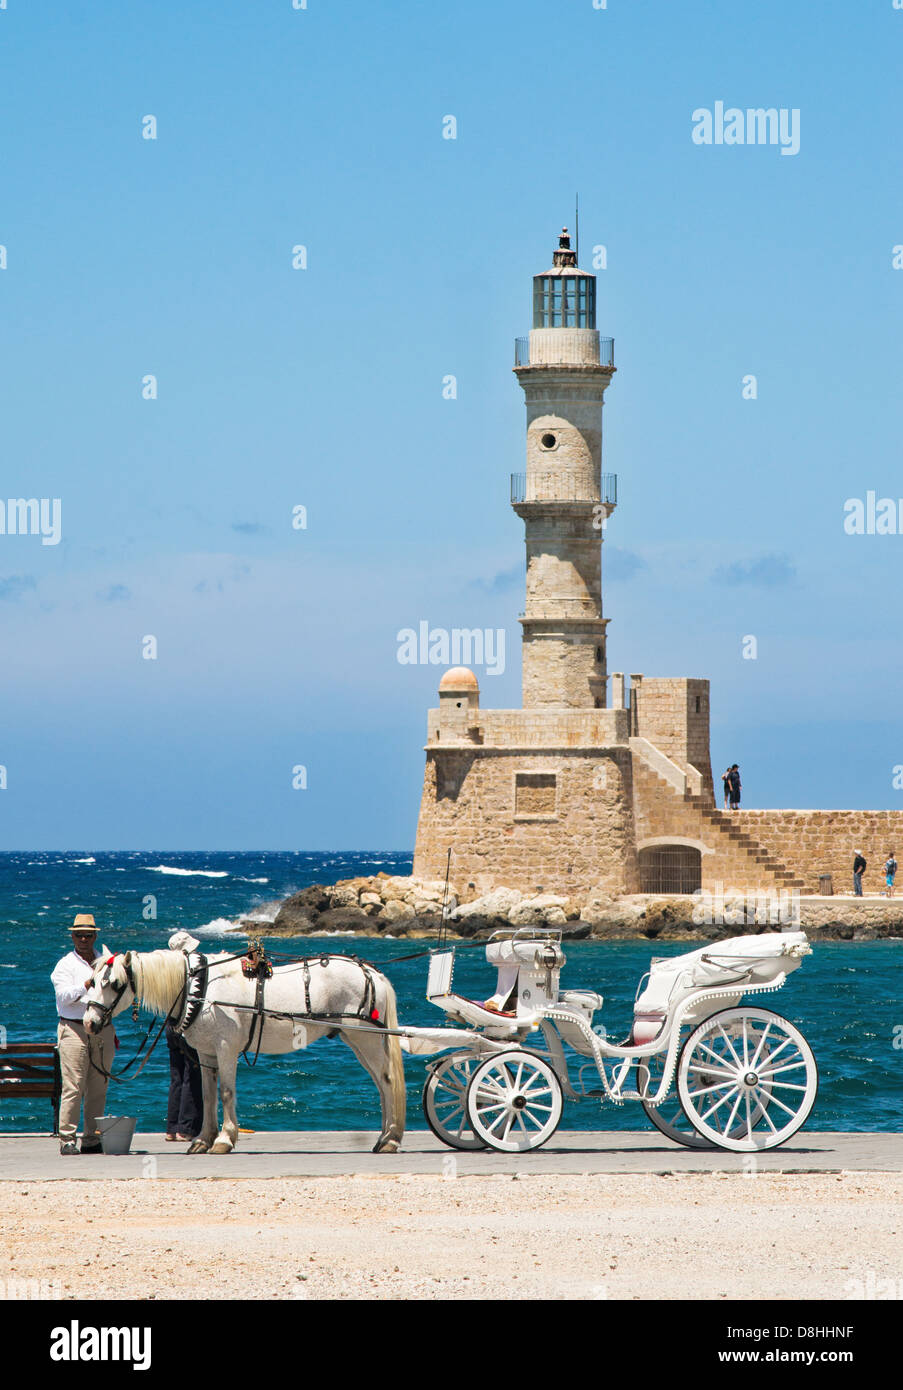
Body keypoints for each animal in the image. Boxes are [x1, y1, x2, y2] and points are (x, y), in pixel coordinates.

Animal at [84, 945, 405, 1150]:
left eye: (114, 983)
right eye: (91, 981)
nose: (89, 1022)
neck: (200, 989)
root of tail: (372, 973)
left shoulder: (226, 1048)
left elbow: (226, 1093)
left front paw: (225, 1139)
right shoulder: (206, 1054)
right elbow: (208, 1095)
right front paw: (203, 1139)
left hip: (366, 1038)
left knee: (387, 1081)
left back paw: (390, 1139)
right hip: (357, 1039)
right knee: (380, 1085)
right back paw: (383, 1137)